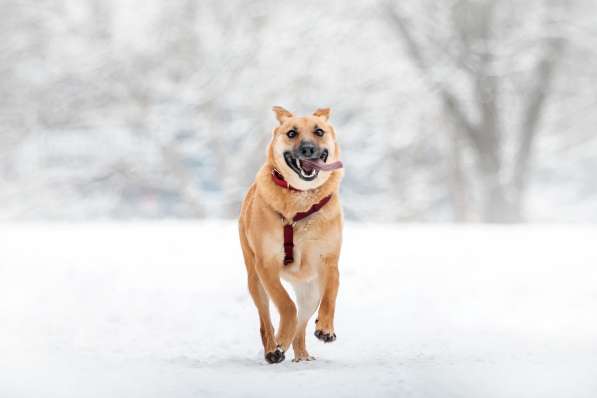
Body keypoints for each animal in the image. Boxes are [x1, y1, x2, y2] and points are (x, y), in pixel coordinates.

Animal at [236, 105, 342, 364]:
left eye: (319, 131)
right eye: (292, 133)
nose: (308, 149)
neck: (300, 200)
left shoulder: (329, 261)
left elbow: (330, 296)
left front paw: (326, 328)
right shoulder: (266, 265)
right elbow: (286, 306)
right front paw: (278, 343)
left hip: (310, 292)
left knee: (301, 326)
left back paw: (301, 355)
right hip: (255, 281)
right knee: (268, 321)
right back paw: (274, 348)